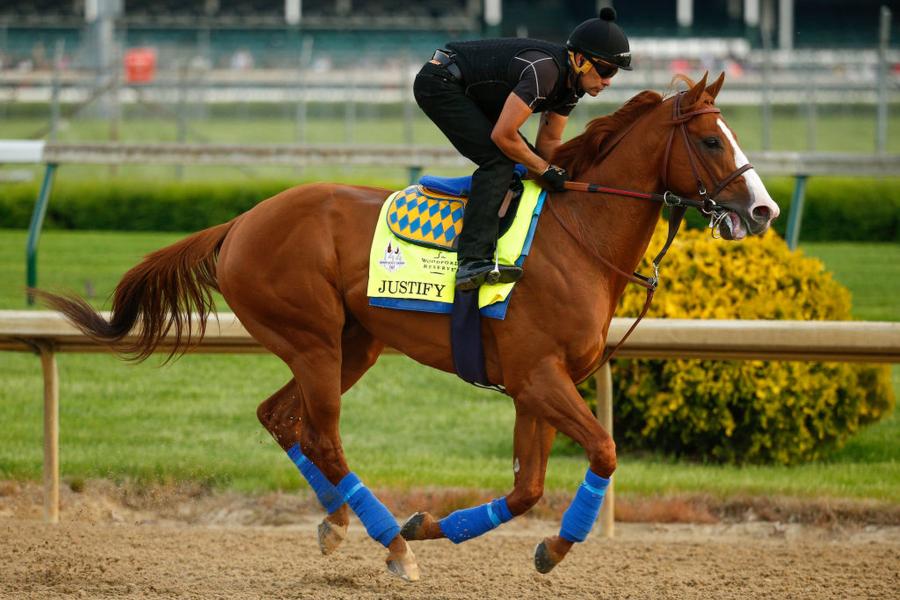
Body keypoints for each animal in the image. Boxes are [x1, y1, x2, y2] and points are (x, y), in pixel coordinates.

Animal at [38, 72, 776, 580]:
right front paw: (549, 546)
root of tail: (242, 221)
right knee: (322, 436)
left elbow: (527, 489)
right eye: (711, 140)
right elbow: (603, 452)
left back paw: (342, 521)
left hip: (351, 344)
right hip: (311, 340)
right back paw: (388, 542)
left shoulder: (534, 386)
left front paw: (443, 527)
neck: (577, 236)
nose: (763, 210)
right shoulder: (541, 376)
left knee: (281, 419)